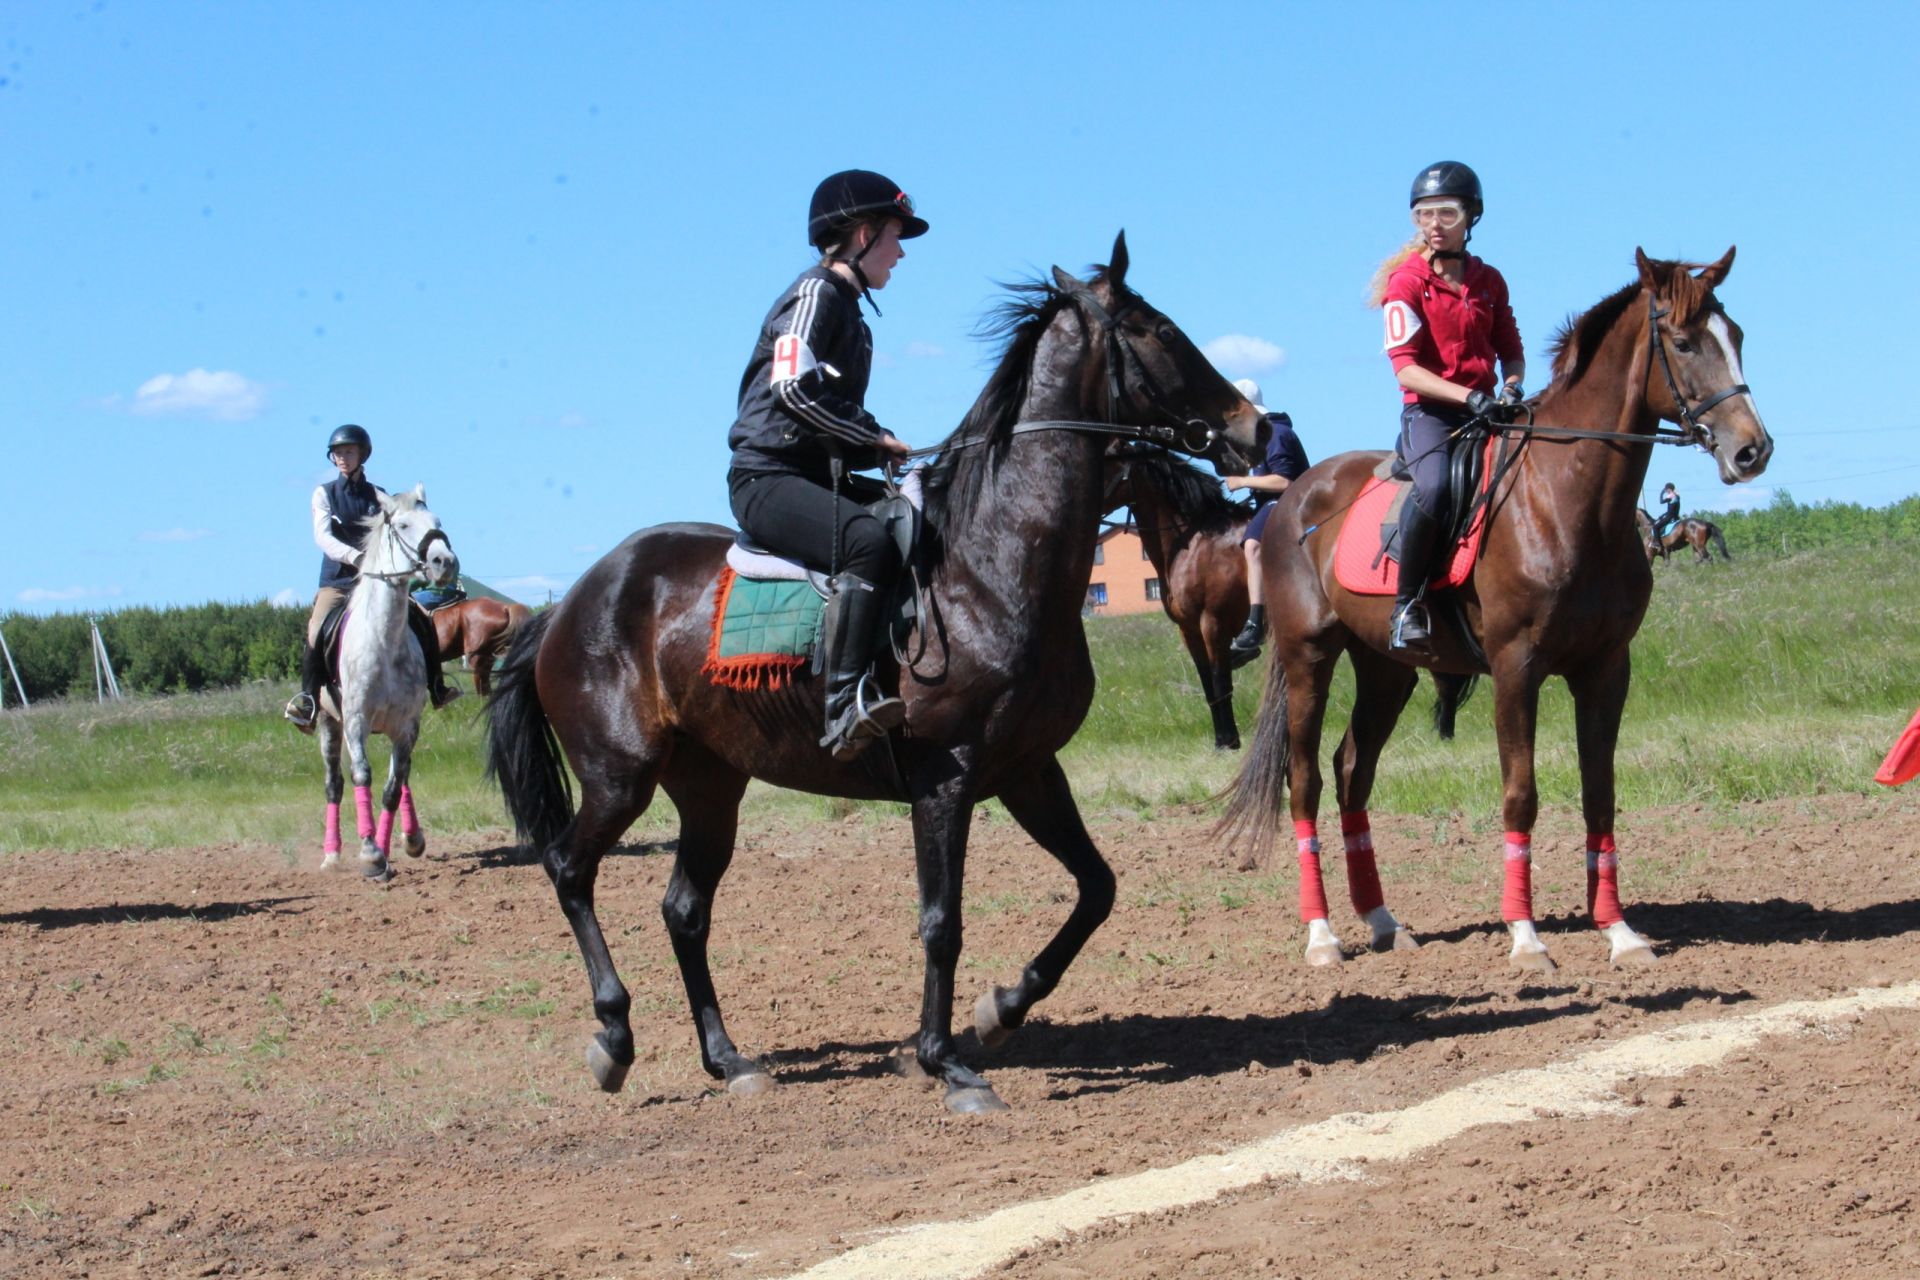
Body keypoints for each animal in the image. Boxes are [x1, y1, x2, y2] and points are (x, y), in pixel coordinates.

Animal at [1113, 449, 1259, 752]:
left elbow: (1220, 681)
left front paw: (1230, 741)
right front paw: (1221, 740)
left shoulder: (1213, 624)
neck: (1195, 543)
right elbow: (1207, 684)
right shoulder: (1189, 629)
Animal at [1221, 247, 1774, 971]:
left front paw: (1620, 932)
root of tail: (1291, 500)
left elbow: (1601, 796)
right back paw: (1322, 935)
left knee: (1351, 774)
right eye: (1683, 343)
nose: (1752, 450)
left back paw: (1383, 921)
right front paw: (1526, 937)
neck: (1568, 499)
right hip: (1309, 657)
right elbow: (1521, 795)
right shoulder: (1518, 668)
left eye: (1736, 336)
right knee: (1306, 780)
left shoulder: (1606, 670)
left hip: (1386, 671)